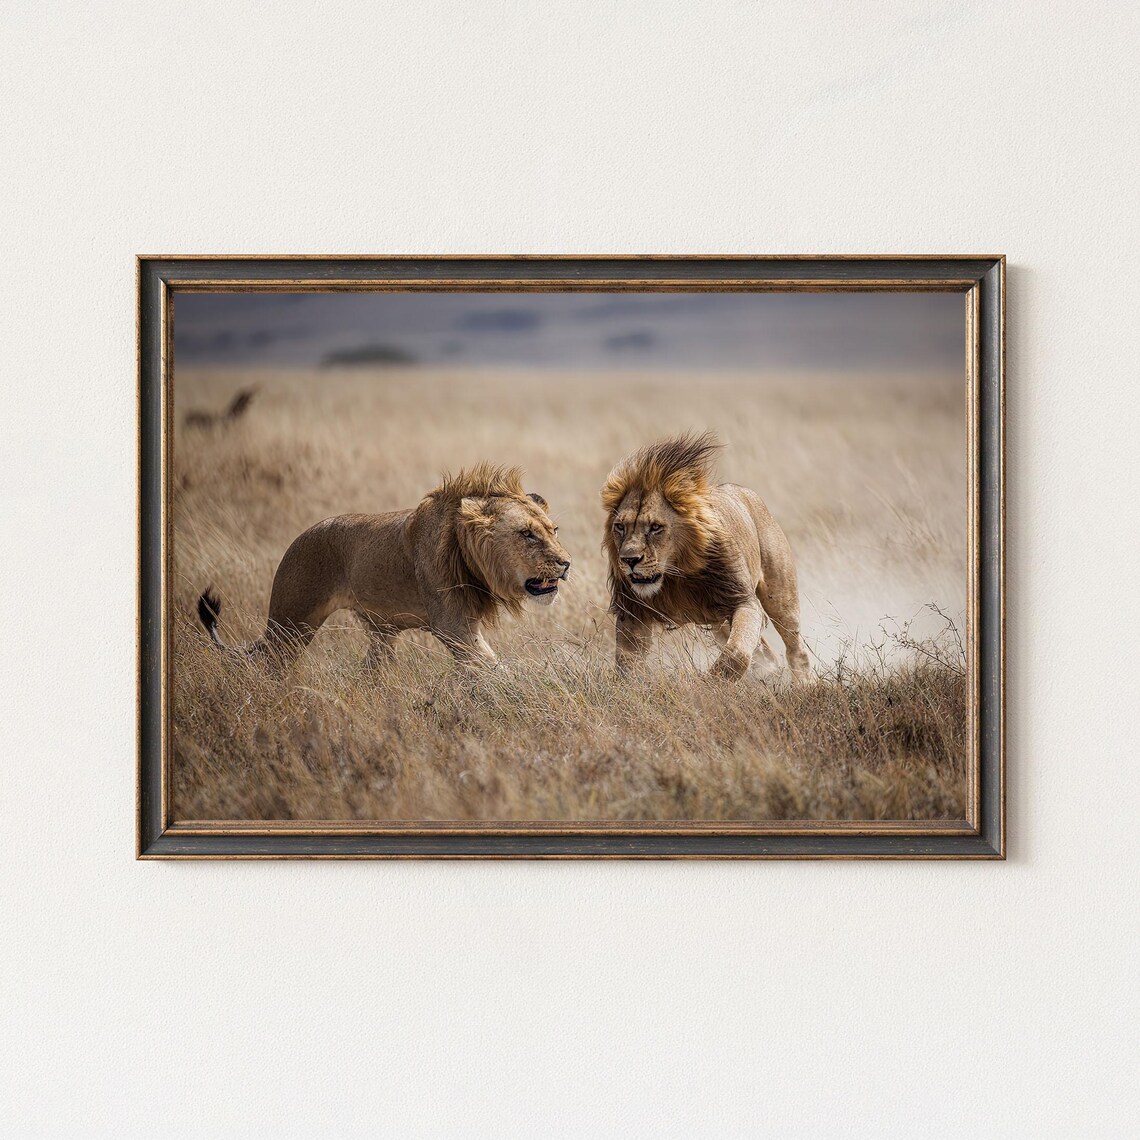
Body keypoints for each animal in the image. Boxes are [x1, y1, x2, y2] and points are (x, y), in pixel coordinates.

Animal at [197, 463, 572, 670]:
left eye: (553, 531)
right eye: (526, 534)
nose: (566, 563)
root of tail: (297, 540)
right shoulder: (454, 628)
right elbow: (492, 669)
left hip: (380, 633)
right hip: (290, 623)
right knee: (269, 666)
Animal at [601, 431, 810, 682]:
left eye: (655, 527)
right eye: (620, 527)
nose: (629, 560)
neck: (676, 575)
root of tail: (748, 493)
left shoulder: (743, 601)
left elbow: (737, 652)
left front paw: (711, 683)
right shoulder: (633, 613)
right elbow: (627, 663)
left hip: (779, 598)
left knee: (795, 647)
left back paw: (804, 684)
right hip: (718, 619)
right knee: (764, 650)